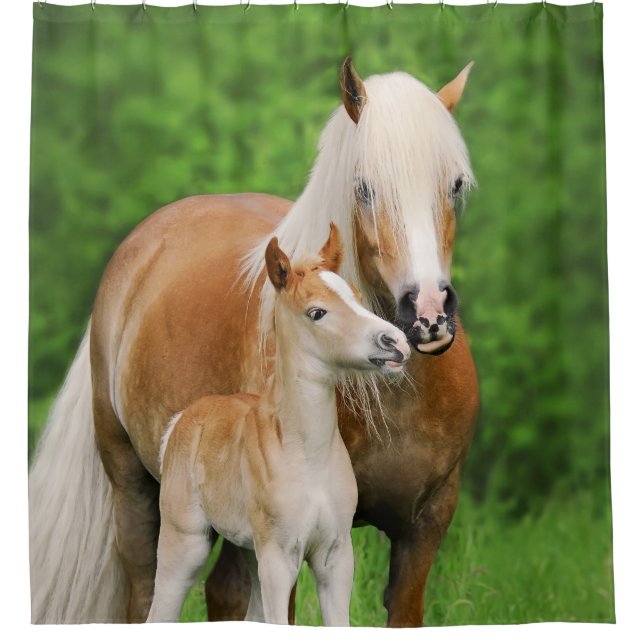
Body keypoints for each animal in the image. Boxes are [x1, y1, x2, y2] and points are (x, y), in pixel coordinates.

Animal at [146, 226, 411, 625]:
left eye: (357, 296)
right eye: (317, 312)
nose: (396, 343)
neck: (306, 455)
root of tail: (184, 419)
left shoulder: (335, 557)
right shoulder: (279, 558)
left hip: (249, 550)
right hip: (187, 544)